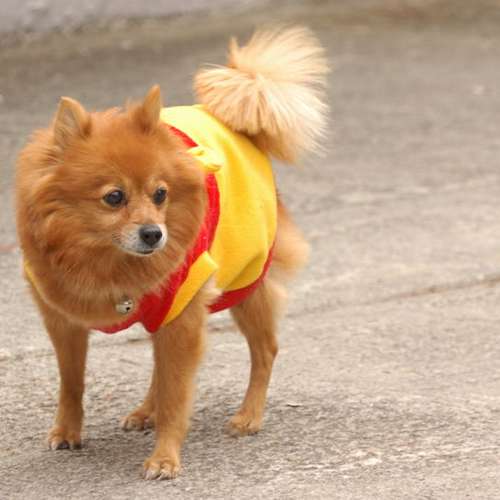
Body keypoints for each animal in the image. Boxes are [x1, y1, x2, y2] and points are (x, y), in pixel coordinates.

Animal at [15, 26, 328, 479]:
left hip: (247, 284)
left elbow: (176, 393)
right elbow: (72, 382)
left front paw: (165, 457)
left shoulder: (183, 312)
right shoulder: (64, 319)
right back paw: (146, 410)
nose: (153, 234)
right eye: (114, 197)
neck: (107, 263)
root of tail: (241, 124)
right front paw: (68, 431)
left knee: (265, 349)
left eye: (161, 194)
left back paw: (248, 416)